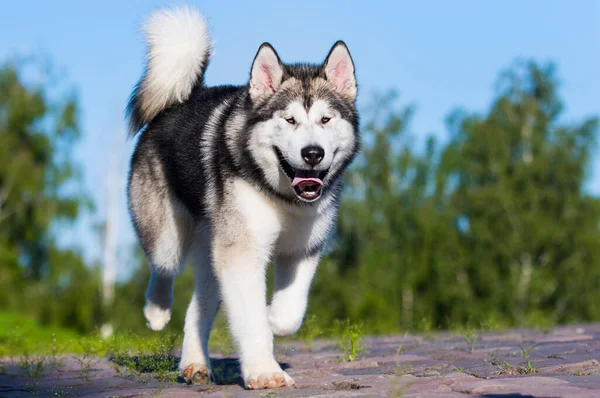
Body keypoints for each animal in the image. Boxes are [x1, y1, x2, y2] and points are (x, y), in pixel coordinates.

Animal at [126, 5, 358, 388]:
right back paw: (156, 311)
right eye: (289, 120)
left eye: (326, 119)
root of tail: (185, 95)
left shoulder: (303, 248)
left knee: (197, 307)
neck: (283, 197)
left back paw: (194, 364)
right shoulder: (242, 252)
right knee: (162, 266)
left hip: (212, 250)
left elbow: (289, 314)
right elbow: (251, 318)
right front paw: (265, 371)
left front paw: (273, 316)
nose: (312, 153)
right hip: (168, 235)